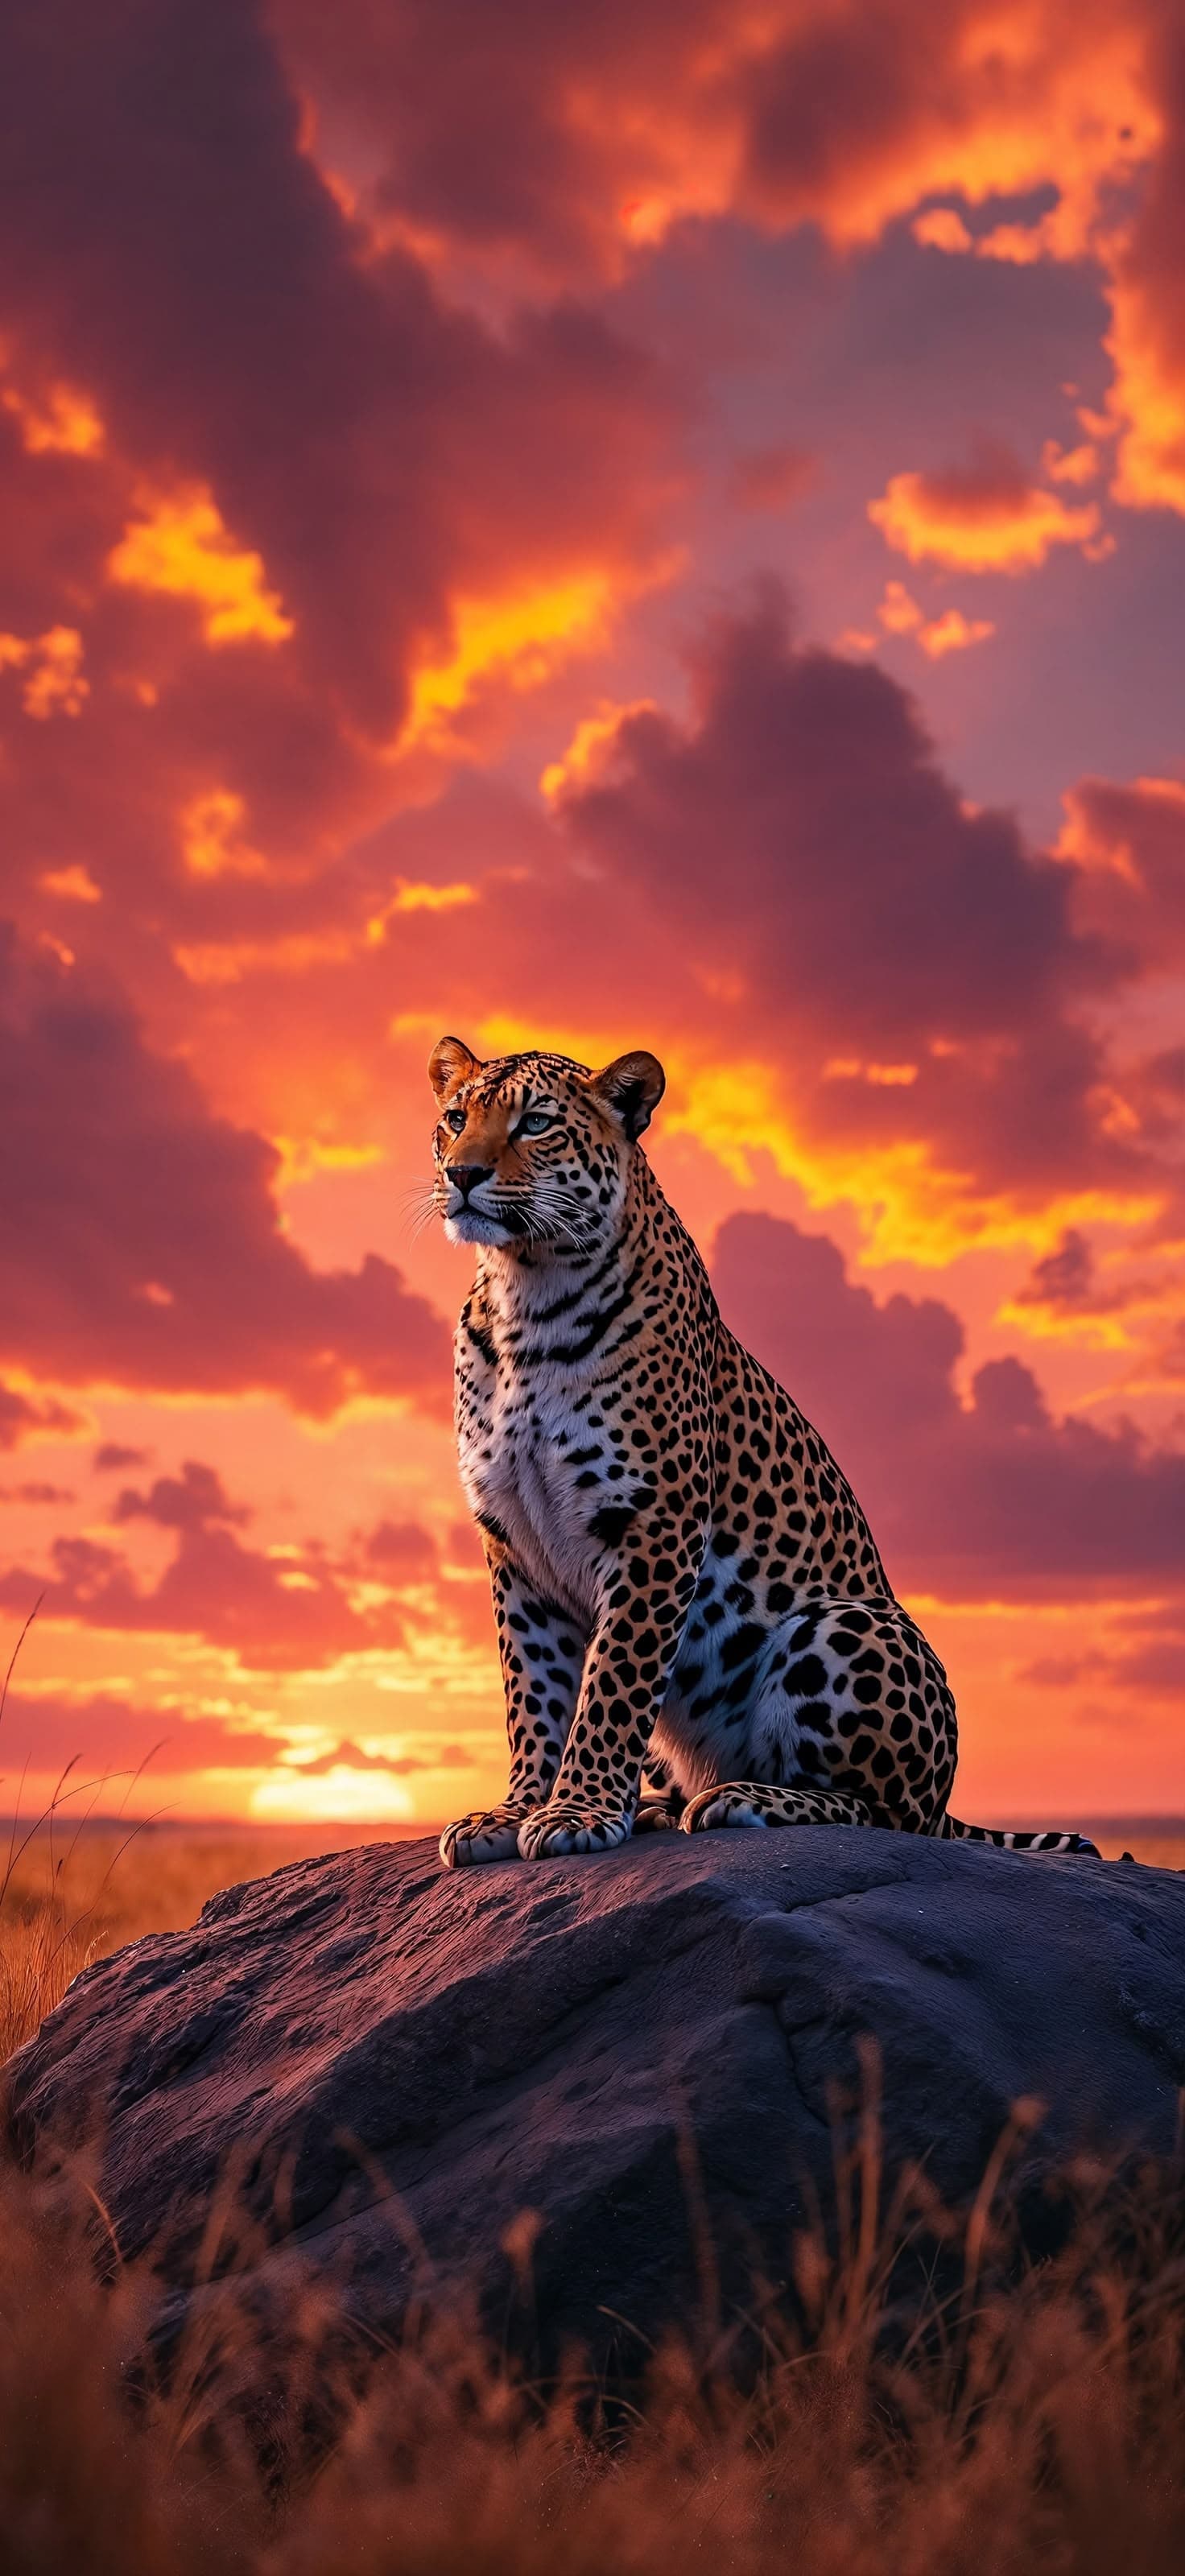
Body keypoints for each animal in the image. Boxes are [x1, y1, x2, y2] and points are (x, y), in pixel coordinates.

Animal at [427, 1036, 1100, 1870]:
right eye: (456, 1120)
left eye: (537, 1123)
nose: (462, 1174)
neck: (525, 1293)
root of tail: (948, 1801)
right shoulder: (514, 1541)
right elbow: (534, 1690)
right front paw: (515, 1809)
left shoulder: (652, 1525)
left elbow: (613, 1683)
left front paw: (577, 1810)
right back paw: (661, 1806)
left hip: (841, 1626)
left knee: (882, 1814)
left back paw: (742, 1799)